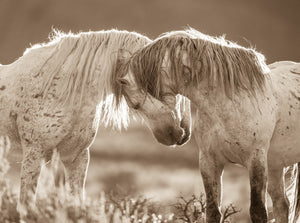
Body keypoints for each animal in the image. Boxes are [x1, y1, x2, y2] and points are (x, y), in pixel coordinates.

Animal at [115, 28, 300, 223]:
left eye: (135, 105)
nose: (168, 137)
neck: (228, 103)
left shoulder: (256, 160)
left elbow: (258, 211)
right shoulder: (209, 162)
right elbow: (212, 211)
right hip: (275, 165)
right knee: (282, 204)